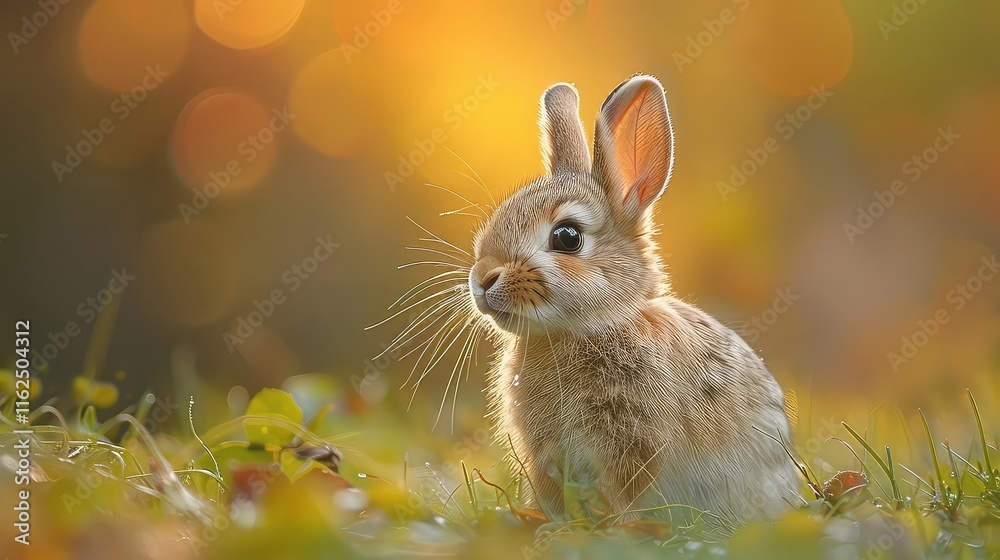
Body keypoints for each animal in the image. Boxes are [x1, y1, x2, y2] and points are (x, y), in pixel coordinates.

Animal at [464, 75, 800, 525]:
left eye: (567, 237)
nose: (482, 279)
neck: (590, 327)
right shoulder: (544, 451)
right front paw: (549, 524)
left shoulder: (632, 438)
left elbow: (624, 488)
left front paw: (615, 527)